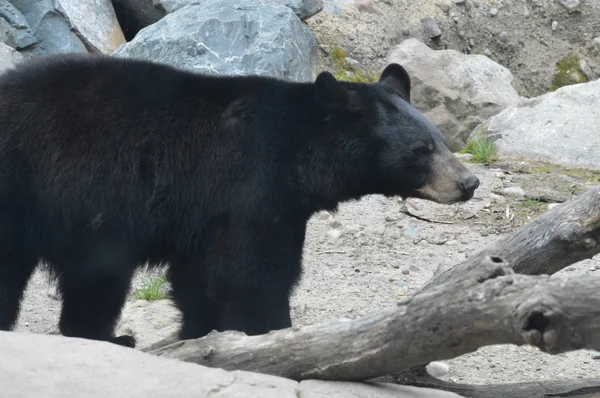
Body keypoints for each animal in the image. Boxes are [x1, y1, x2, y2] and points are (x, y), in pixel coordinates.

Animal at [0, 54, 478, 346]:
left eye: (441, 140)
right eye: (421, 150)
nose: (469, 182)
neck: (300, 153)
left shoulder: (209, 212)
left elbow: (199, 280)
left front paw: (202, 335)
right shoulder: (249, 186)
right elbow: (253, 274)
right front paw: (270, 332)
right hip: (28, 184)